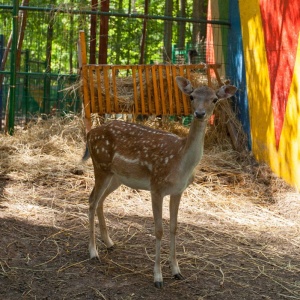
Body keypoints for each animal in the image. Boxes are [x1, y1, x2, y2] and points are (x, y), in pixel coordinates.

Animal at [82, 76, 237, 288]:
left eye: (214, 99)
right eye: (191, 96)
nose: (199, 113)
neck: (180, 163)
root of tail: (90, 134)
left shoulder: (178, 191)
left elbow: (174, 227)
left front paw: (177, 271)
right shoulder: (156, 187)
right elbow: (158, 230)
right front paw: (158, 277)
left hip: (116, 177)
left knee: (100, 200)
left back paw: (110, 243)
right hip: (101, 165)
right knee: (91, 200)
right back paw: (93, 252)